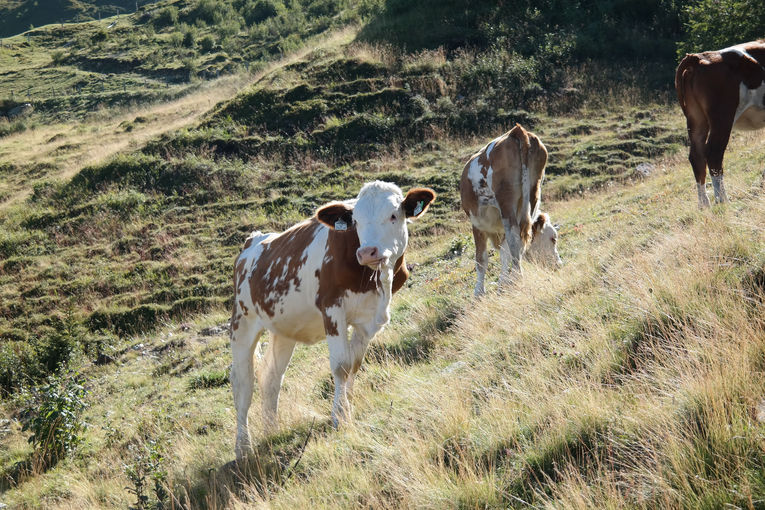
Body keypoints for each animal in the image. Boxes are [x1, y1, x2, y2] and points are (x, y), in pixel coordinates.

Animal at [227, 181, 432, 460]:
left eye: (393, 215)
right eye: (355, 221)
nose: (367, 252)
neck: (377, 282)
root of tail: (254, 240)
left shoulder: (369, 320)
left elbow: (354, 366)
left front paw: (347, 411)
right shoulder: (332, 310)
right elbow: (341, 366)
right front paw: (339, 418)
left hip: (283, 329)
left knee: (271, 378)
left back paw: (271, 432)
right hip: (242, 322)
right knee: (242, 383)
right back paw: (243, 447)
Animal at [460, 123, 560, 296]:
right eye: (553, 238)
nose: (559, 264)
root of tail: (517, 131)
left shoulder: (477, 224)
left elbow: (481, 258)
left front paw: (479, 291)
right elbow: (504, 251)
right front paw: (504, 281)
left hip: (506, 201)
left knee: (514, 238)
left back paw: (518, 276)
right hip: (533, 192)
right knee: (518, 238)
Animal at [676, 39, 764, 207]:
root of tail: (699, 57)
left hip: (696, 119)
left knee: (696, 156)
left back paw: (704, 204)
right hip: (722, 116)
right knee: (714, 152)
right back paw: (722, 200)